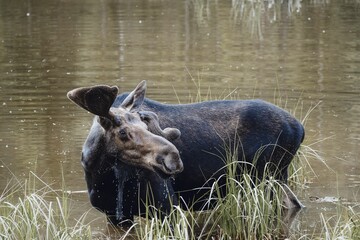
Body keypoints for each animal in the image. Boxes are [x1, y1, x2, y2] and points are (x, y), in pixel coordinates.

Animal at [67, 80, 304, 225]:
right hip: (276, 178)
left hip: (266, 179)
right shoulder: (116, 215)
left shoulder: (167, 206)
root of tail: (300, 129)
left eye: (145, 125)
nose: (173, 158)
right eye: (123, 133)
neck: (100, 176)